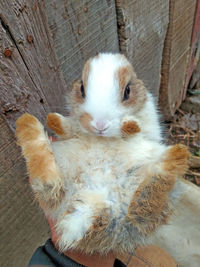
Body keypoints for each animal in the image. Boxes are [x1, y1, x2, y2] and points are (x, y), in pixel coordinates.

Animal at [15, 52, 189, 255]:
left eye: (127, 91)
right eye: (82, 88)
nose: (100, 125)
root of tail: (88, 212)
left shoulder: (150, 126)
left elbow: (139, 128)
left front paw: (130, 125)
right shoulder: (75, 129)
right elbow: (69, 127)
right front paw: (53, 120)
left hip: (144, 191)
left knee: (146, 203)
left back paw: (177, 156)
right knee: (48, 183)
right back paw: (27, 123)